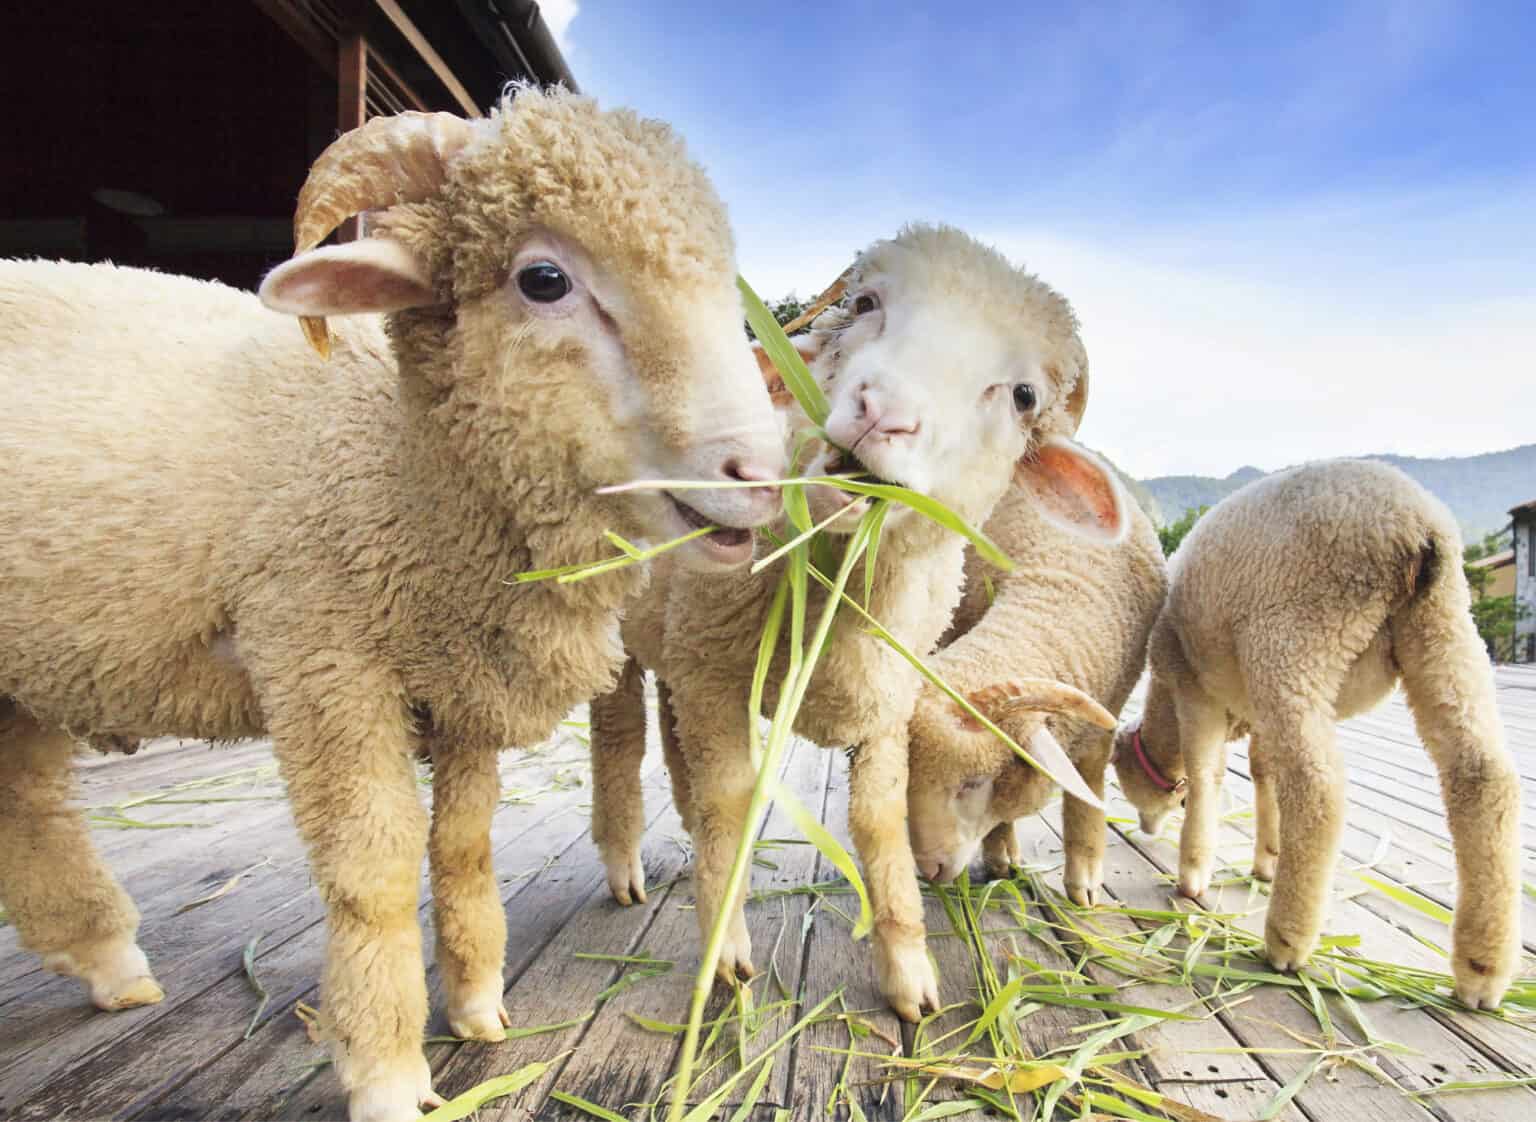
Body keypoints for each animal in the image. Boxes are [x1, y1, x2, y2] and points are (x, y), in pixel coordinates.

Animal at [0, 88, 785, 1122]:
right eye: (543, 278)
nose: (763, 475)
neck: (400, 463)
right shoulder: (320, 658)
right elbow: (373, 871)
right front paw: (385, 1069)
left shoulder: (459, 677)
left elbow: (462, 847)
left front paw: (480, 1007)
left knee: (27, 804)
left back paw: (109, 961)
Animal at [588, 224, 1125, 1020]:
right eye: (866, 303)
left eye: (1024, 395)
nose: (882, 414)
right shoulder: (718, 679)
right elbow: (730, 805)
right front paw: (727, 948)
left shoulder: (885, 699)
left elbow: (877, 822)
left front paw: (909, 975)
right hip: (622, 631)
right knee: (621, 742)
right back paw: (626, 865)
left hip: (677, 644)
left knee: (673, 736)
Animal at [904, 467, 1167, 904]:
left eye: (973, 782)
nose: (929, 869)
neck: (1061, 579)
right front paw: (999, 855)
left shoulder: (1103, 718)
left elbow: (1085, 795)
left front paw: (1084, 881)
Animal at [1110, 459, 1522, 1009]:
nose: (1147, 829)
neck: (1165, 713)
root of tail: (1415, 526)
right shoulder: (1254, 708)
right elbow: (1262, 769)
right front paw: (1268, 859)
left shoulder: (1194, 685)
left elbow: (1206, 773)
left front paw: (1193, 874)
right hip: (1443, 631)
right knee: (1483, 776)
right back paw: (1482, 970)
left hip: (1293, 640)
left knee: (1316, 787)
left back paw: (1287, 942)